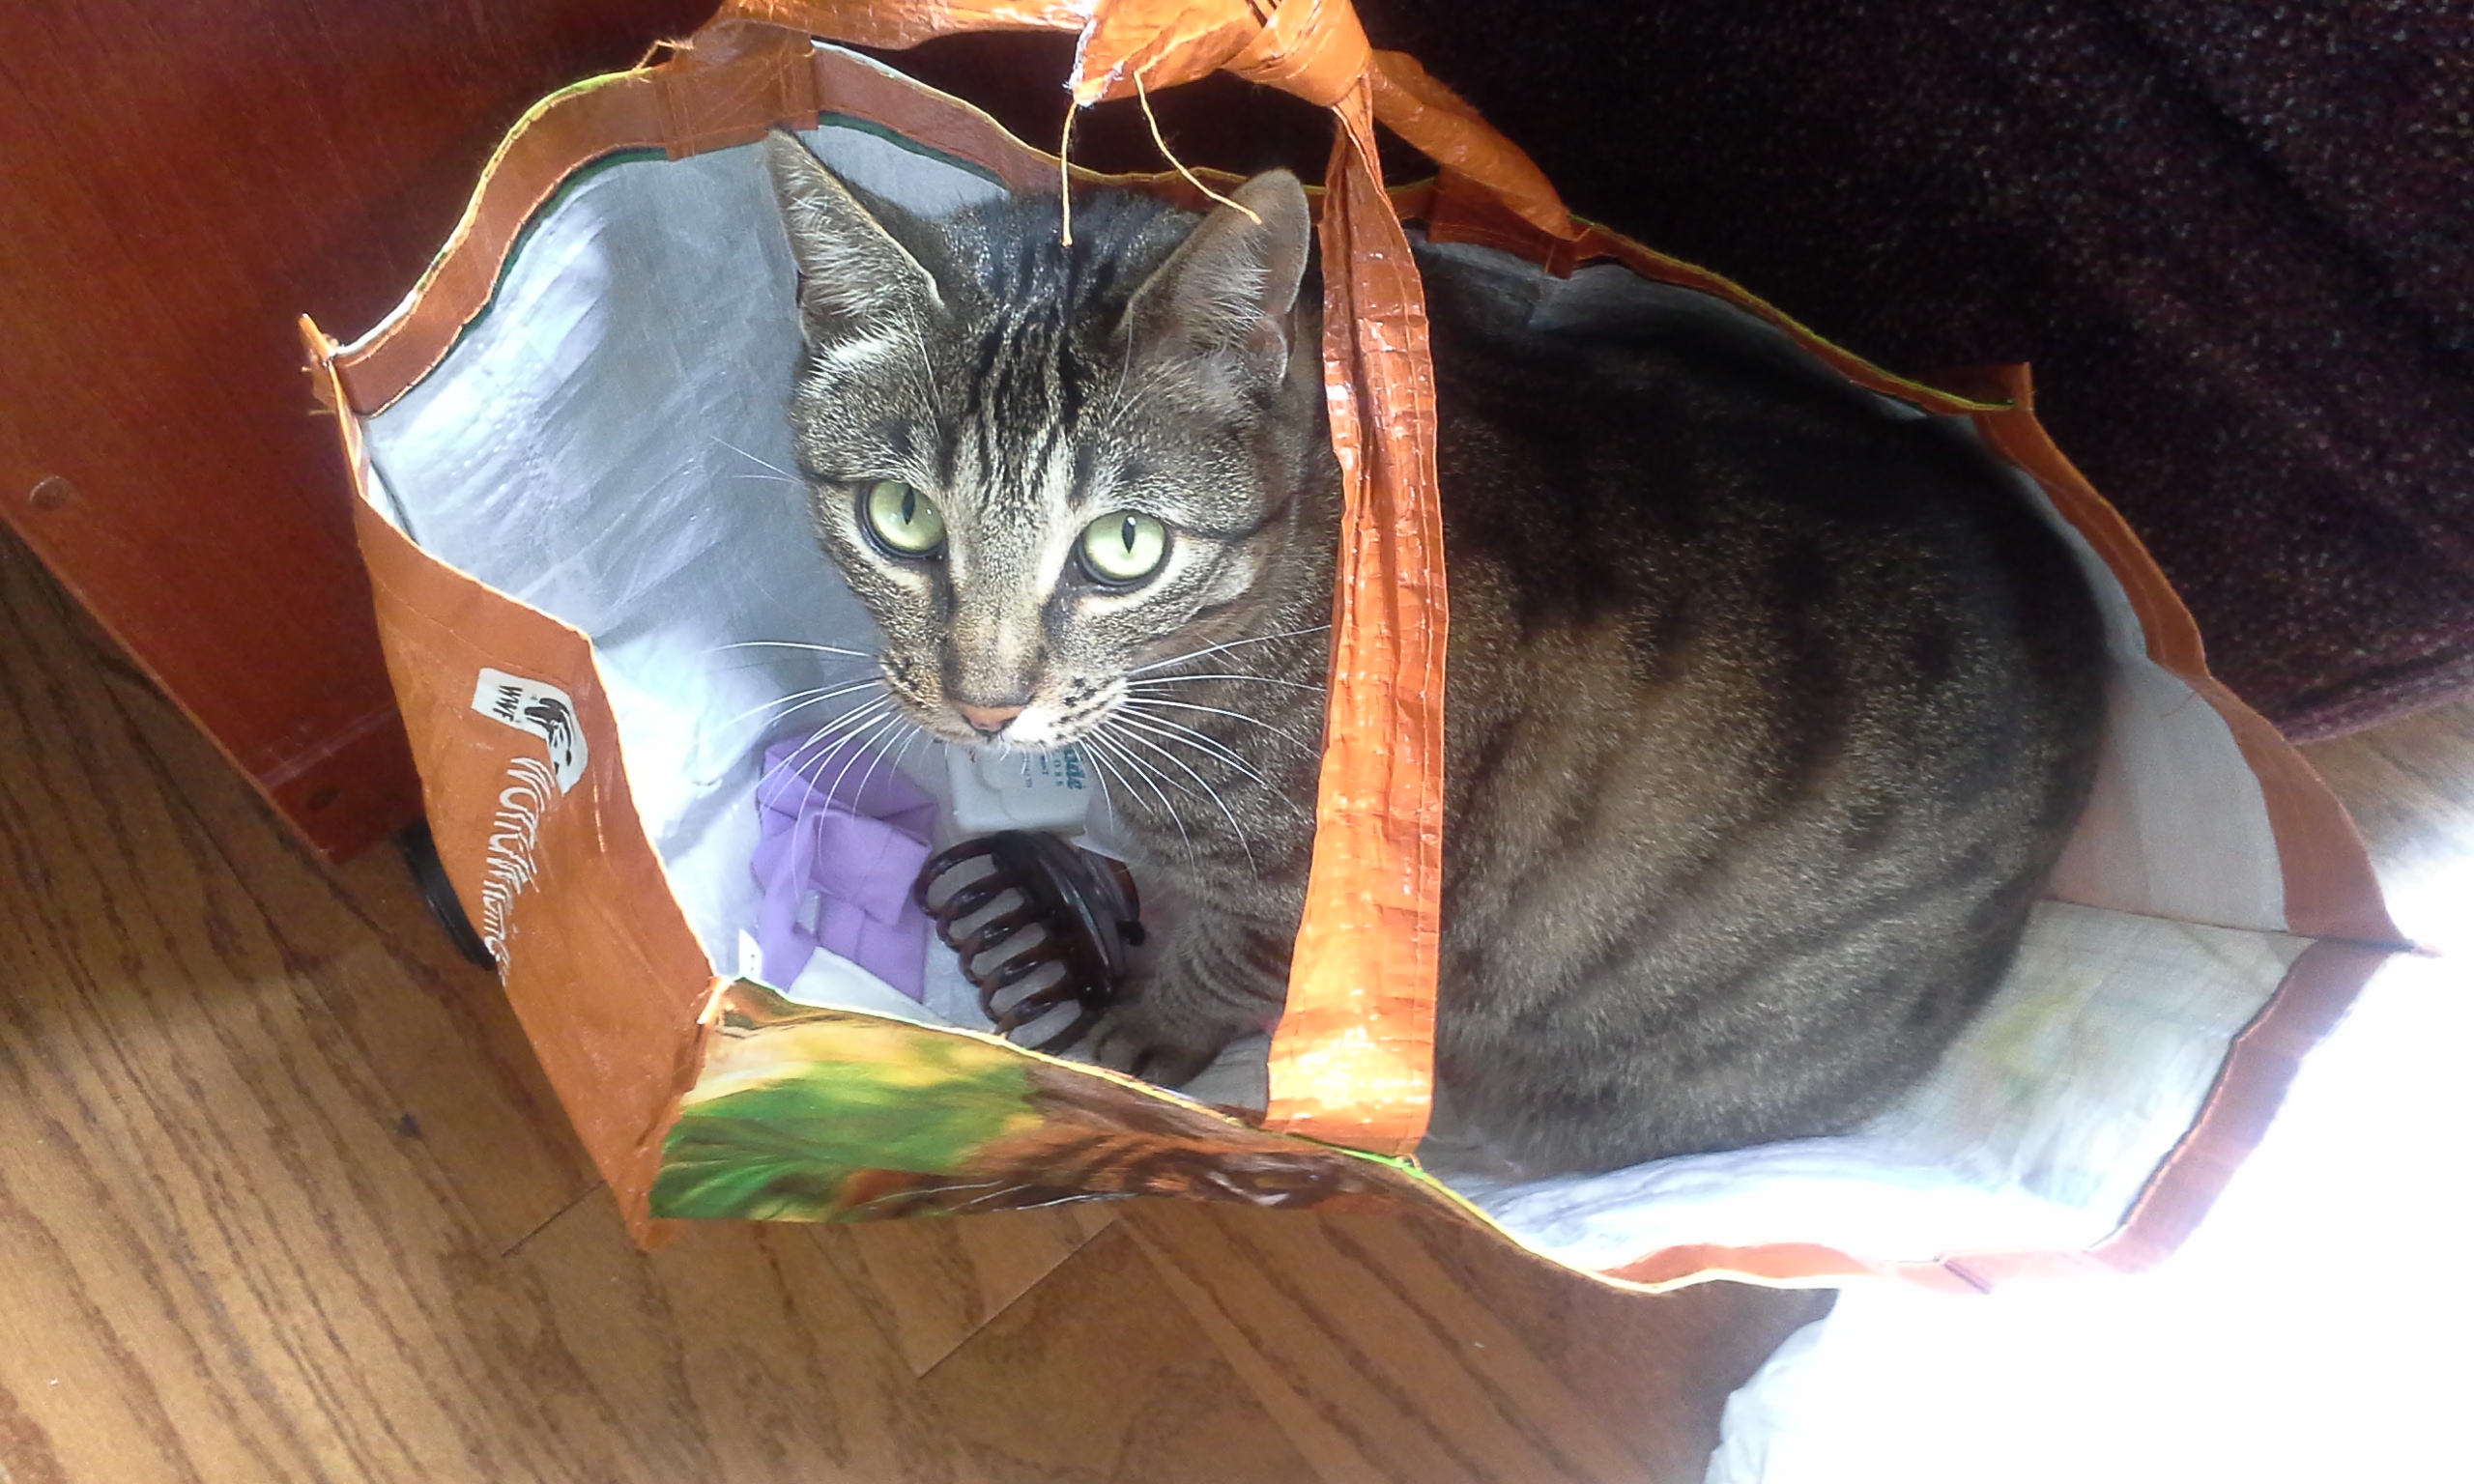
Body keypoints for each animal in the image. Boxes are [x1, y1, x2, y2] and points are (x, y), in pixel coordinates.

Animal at [757, 139, 2108, 1182]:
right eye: (901, 517)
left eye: (1123, 547)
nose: (983, 706)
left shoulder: (1303, 908)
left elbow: (1208, 975)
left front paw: (1132, 1044)